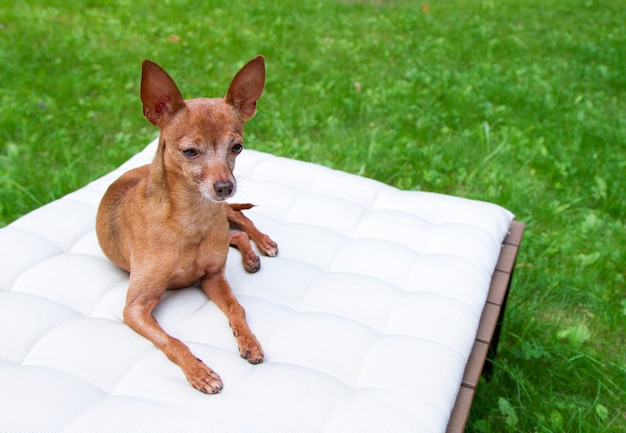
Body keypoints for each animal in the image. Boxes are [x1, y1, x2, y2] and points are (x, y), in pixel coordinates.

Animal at [95, 55, 276, 394]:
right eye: (190, 151)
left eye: (237, 147)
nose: (225, 187)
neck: (193, 219)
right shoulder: (135, 308)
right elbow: (172, 342)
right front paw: (199, 371)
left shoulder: (212, 277)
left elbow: (237, 308)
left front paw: (249, 341)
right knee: (235, 235)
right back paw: (250, 256)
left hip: (225, 217)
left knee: (240, 220)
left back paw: (262, 244)